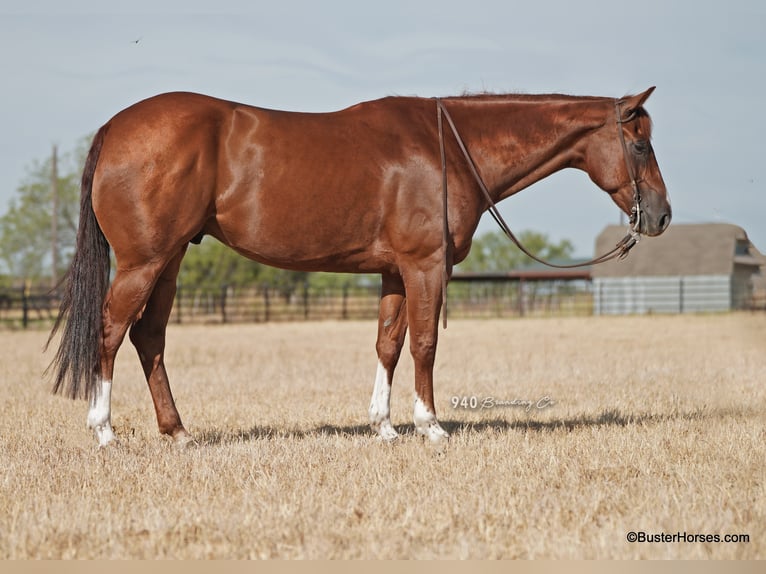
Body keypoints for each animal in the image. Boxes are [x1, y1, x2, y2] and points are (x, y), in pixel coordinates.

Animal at [48, 88, 672, 448]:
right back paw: (104, 431)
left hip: (171, 259)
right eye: (641, 145)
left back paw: (177, 432)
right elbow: (424, 343)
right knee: (110, 331)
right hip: (143, 261)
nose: (661, 215)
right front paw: (430, 426)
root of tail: (116, 127)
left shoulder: (395, 272)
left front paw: (384, 426)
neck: (449, 145)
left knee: (149, 337)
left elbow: (388, 344)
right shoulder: (425, 267)